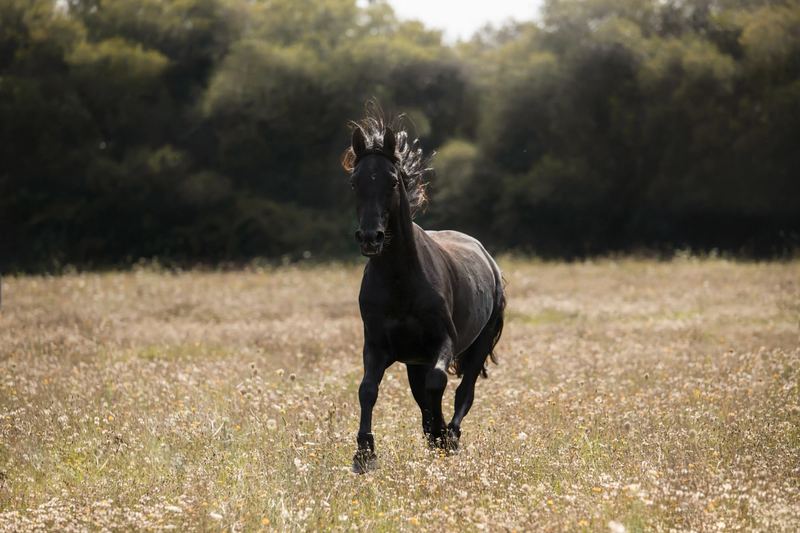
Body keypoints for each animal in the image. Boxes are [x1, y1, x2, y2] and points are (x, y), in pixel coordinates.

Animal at [341, 110, 506, 474]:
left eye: (392, 181)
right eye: (355, 182)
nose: (370, 238)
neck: (400, 281)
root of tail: (488, 259)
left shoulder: (442, 342)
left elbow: (438, 384)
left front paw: (442, 438)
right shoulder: (377, 346)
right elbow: (367, 390)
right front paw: (364, 453)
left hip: (478, 344)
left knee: (463, 392)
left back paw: (450, 437)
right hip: (413, 361)